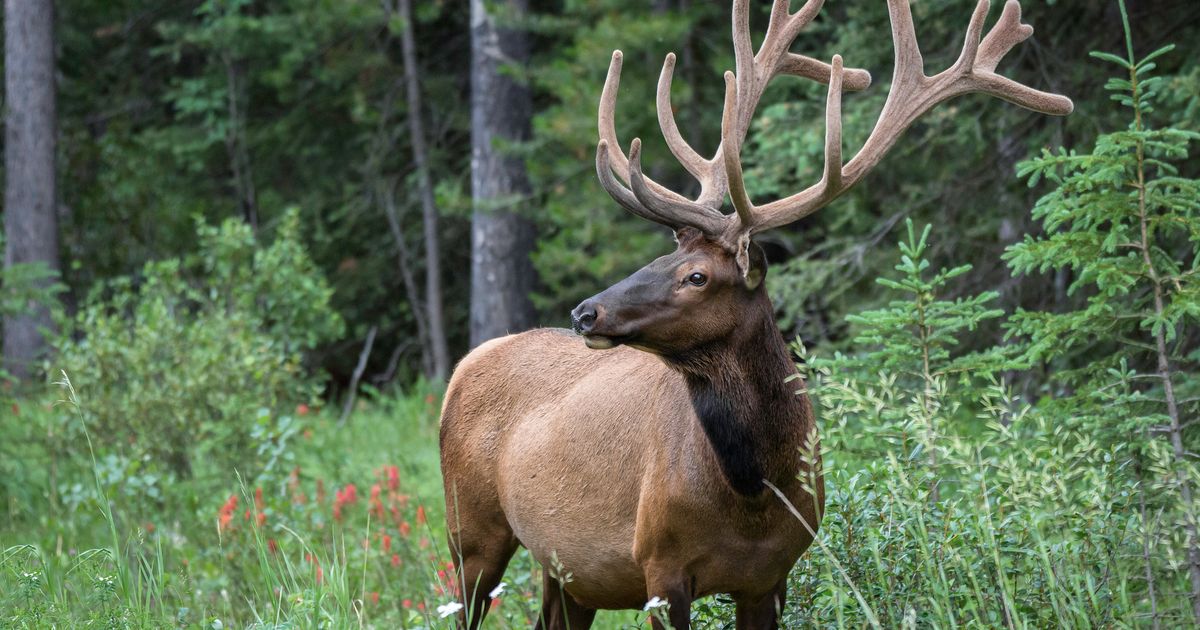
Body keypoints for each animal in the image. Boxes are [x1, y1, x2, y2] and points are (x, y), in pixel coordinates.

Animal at [439, 2, 1070, 624]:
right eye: (661, 256)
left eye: (695, 275)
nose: (585, 313)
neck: (754, 494)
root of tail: (465, 364)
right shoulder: (659, 566)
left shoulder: (772, 575)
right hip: (470, 531)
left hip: (567, 572)